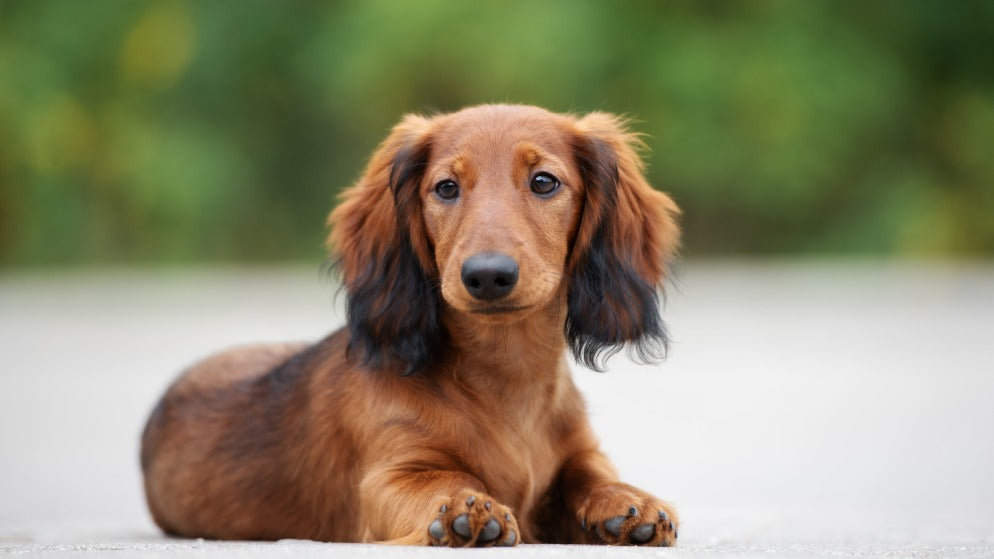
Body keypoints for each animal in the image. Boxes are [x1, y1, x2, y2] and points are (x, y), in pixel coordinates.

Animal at [141, 104, 680, 548]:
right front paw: (467, 507)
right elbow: (441, 481)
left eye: (544, 182)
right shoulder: (386, 479)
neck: (507, 375)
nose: (487, 275)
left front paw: (628, 501)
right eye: (446, 188)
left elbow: (592, 473)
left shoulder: (581, 452)